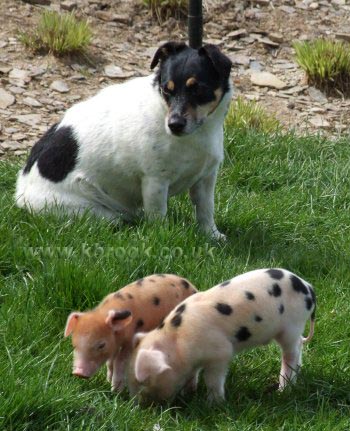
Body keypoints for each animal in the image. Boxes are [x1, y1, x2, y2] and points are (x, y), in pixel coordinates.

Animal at [15, 41, 232, 238]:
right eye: (166, 90)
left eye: (198, 90)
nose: (174, 124)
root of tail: (20, 195)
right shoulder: (155, 181)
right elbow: (158, 216)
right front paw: (161, 236)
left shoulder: (206, 178)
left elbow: (205, 210)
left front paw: (212, 235)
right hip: (95, 212)